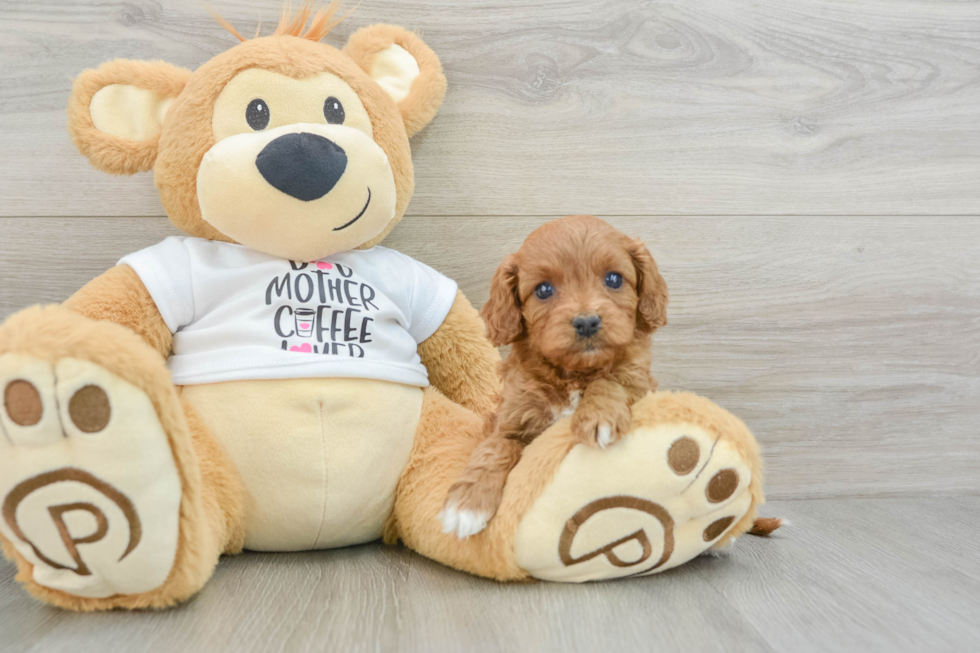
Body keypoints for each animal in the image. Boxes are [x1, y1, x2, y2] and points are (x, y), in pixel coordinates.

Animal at [440, 216, 668, 536]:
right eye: (544, 290)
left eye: (614, 279)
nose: (587, 322)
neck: (573, 373)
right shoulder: (510, 421)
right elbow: (494, 449)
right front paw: (466, 505)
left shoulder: (639, 382)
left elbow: (611, 380)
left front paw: (599, 417)